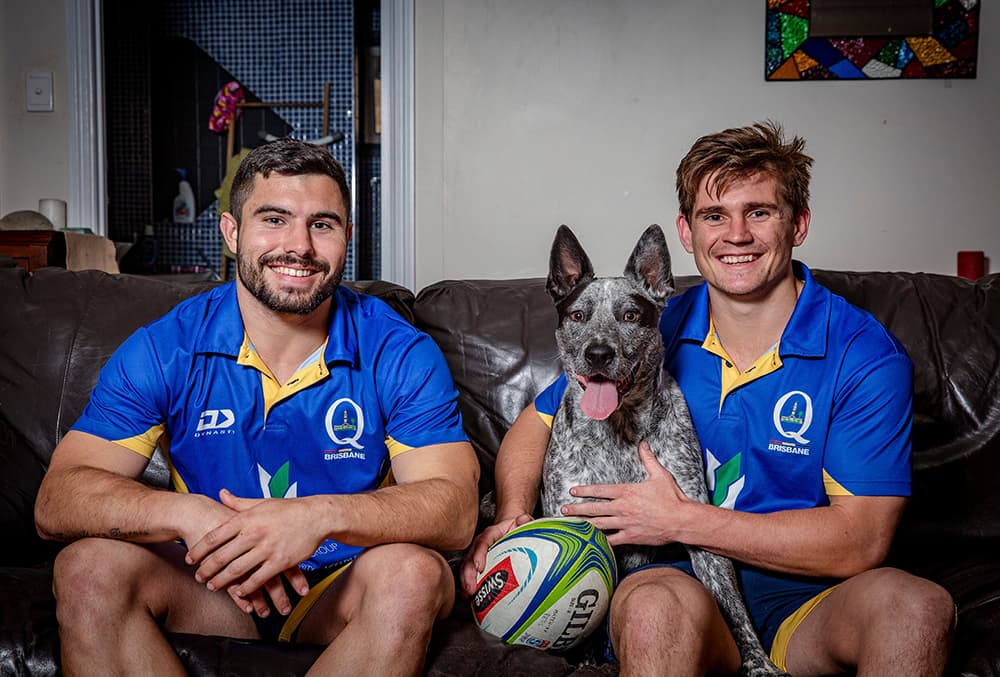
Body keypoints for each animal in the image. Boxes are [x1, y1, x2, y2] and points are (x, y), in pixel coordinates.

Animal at [544, 226, 784, 676]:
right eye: (578, 316)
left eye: (630, 316)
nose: (598, 354)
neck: (618, 431)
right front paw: (583, 659)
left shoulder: (697, 524)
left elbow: (733, 607)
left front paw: (758, 661)